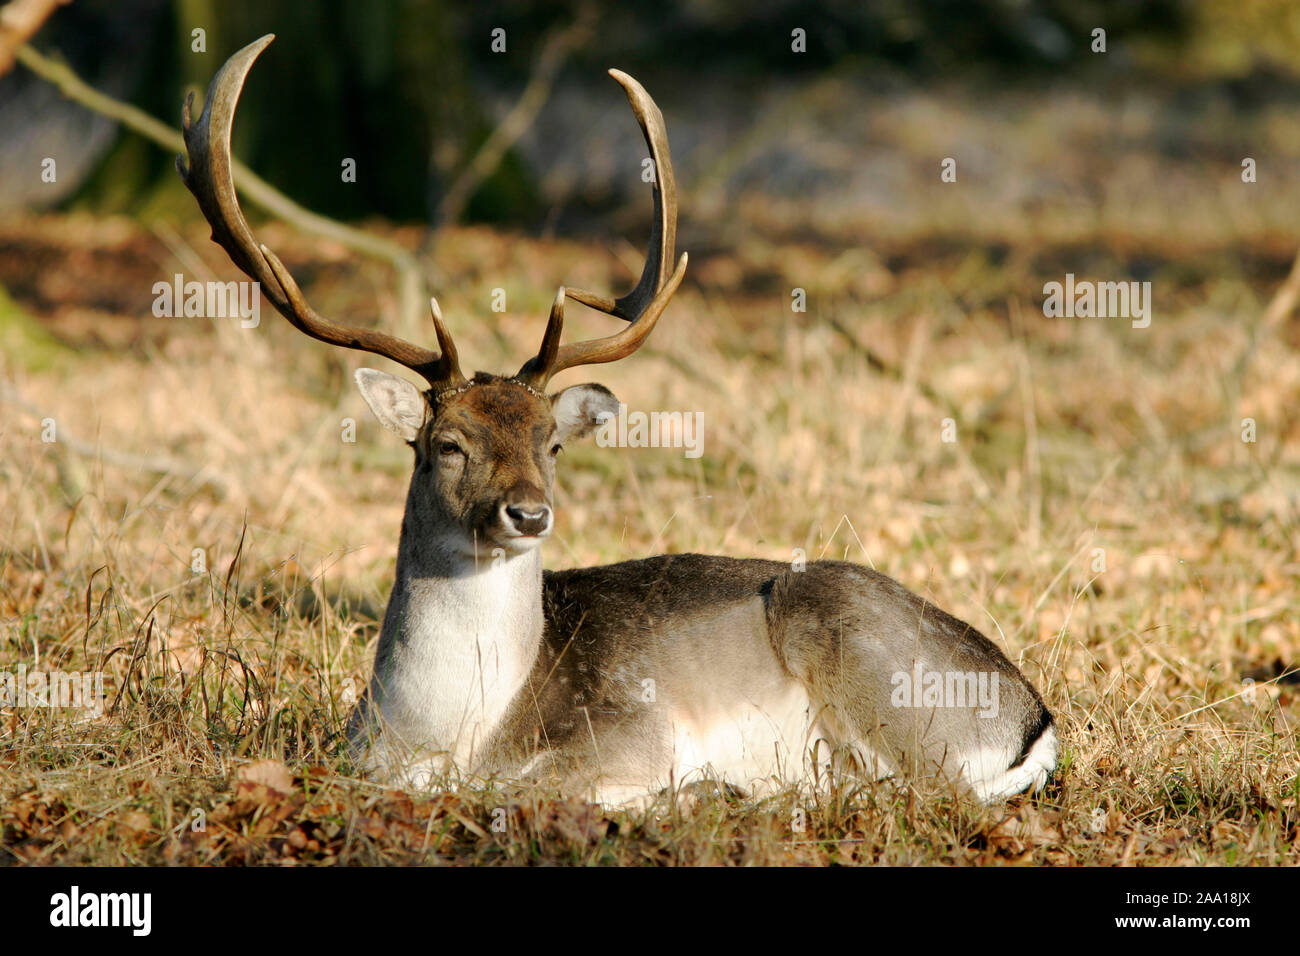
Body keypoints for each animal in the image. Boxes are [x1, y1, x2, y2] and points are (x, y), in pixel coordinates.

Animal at [180, 33, 1055, 806]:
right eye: (447, 445)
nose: (528, 513)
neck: (445, 735)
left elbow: (543, 788)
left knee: (925, 790)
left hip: (878, 676)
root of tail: (1033, 716)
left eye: (552, 443)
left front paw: (692, 790)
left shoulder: (635, 728)